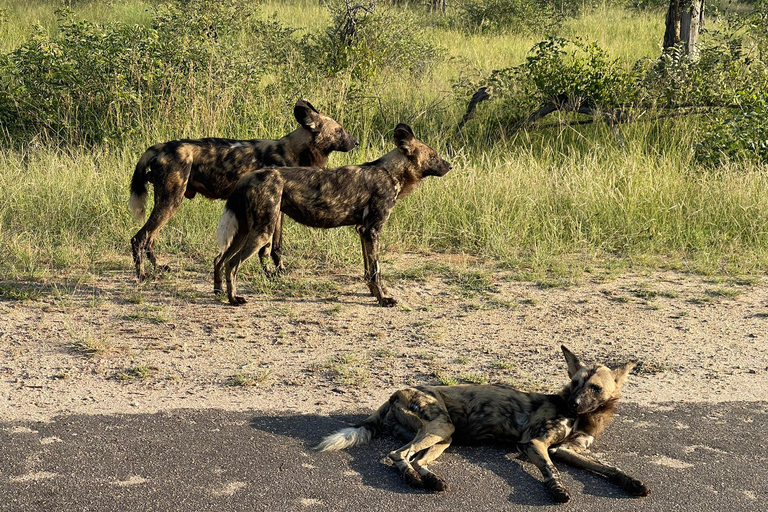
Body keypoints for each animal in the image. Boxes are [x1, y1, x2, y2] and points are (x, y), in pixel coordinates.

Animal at [130, 101, 360, 280]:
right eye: (339, 130)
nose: (356, 142)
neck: (295, 152)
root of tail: (161, 147)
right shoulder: (271, 212)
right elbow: (266, 249)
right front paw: (270, 273)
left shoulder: (278, 212)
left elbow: (276, 247)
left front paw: (278, 271)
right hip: (170, 202)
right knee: (139, 238)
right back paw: (142, 275)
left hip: (167, 203)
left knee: (150, 239)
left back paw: (159, 268)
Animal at [214, 123, 450, 308]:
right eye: (433, 156)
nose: (450, 165)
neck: (390, 172)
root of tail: (248, 177)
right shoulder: (371, 230)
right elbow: (376, 270)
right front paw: (383, 299)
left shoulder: (363, 231)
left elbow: (369, 271)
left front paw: (375, 293)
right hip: (263, 232)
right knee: (232, 264)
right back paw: (234, 299)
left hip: (246, 231)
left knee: (220, 259)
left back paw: (219, 293)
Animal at [316, 344, 652, 504]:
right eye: (575, 383)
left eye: (594, 388)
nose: (573, 403)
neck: (584, 417)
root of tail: (395, 392)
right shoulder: (535, 444)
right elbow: (551, 471)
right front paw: (557, 491)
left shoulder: (565, 450)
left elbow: (608, 468)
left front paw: (632, 483)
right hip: (440, 428)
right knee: (397, 454)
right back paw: (413, 480)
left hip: (443, 437)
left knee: (416, 459)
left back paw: (432, 481)